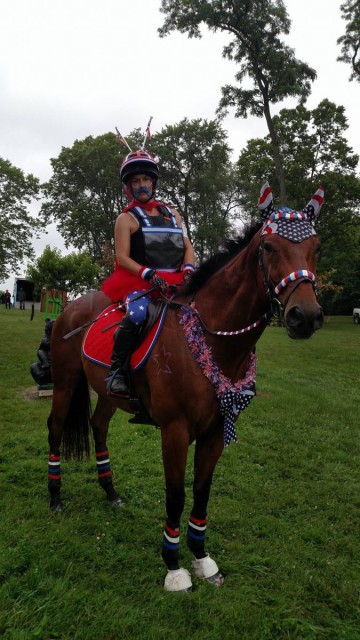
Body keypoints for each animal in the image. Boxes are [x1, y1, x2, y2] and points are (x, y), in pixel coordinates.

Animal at [46, 182, 324, 592]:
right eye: (269, 247)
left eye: (315, 247)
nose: (305, 316)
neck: (210, 337)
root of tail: (71, 306)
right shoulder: (175, 431)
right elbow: (176, 495)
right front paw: (174, 567)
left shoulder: (215, 432)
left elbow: (201, 492)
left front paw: (202, 558)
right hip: (65, 383)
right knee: (54, 428)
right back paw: (55, 498)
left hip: (109, 394)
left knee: (98, 426)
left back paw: (110, 492)